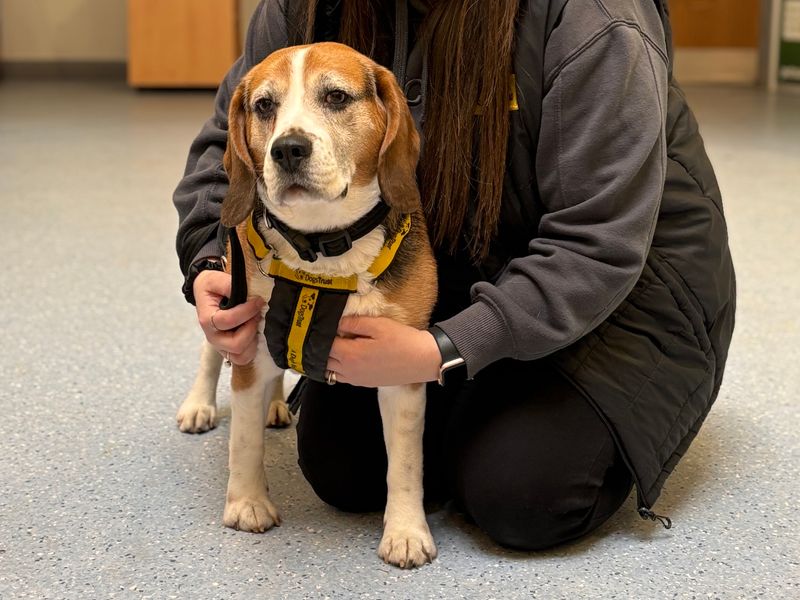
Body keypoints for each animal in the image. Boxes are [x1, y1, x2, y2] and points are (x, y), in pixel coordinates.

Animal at [176, 42, 438, 568]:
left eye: (336, 96)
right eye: (264, 106)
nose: (287, 148)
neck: (322, 247)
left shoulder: (402, 367)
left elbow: (404, 464)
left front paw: (405, 531)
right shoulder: (249, 343)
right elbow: (244, 440)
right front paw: (247, 503)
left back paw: (278, 404)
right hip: (228, 290)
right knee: (212, 352)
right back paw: (199, 405)